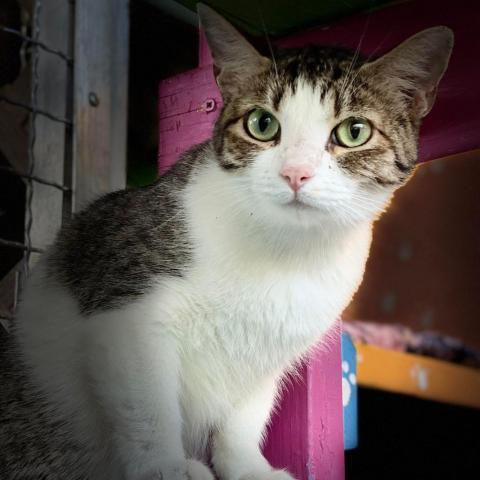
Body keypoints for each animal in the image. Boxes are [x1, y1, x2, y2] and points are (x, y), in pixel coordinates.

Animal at [0, 3, 452, 480]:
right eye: (262, 124)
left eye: (354, 131)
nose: (295, 173)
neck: (283, 254)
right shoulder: (126, 311)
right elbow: (147, 402)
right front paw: (165, 466)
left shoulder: (270, 354)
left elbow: (244, 416)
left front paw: (248, 467)